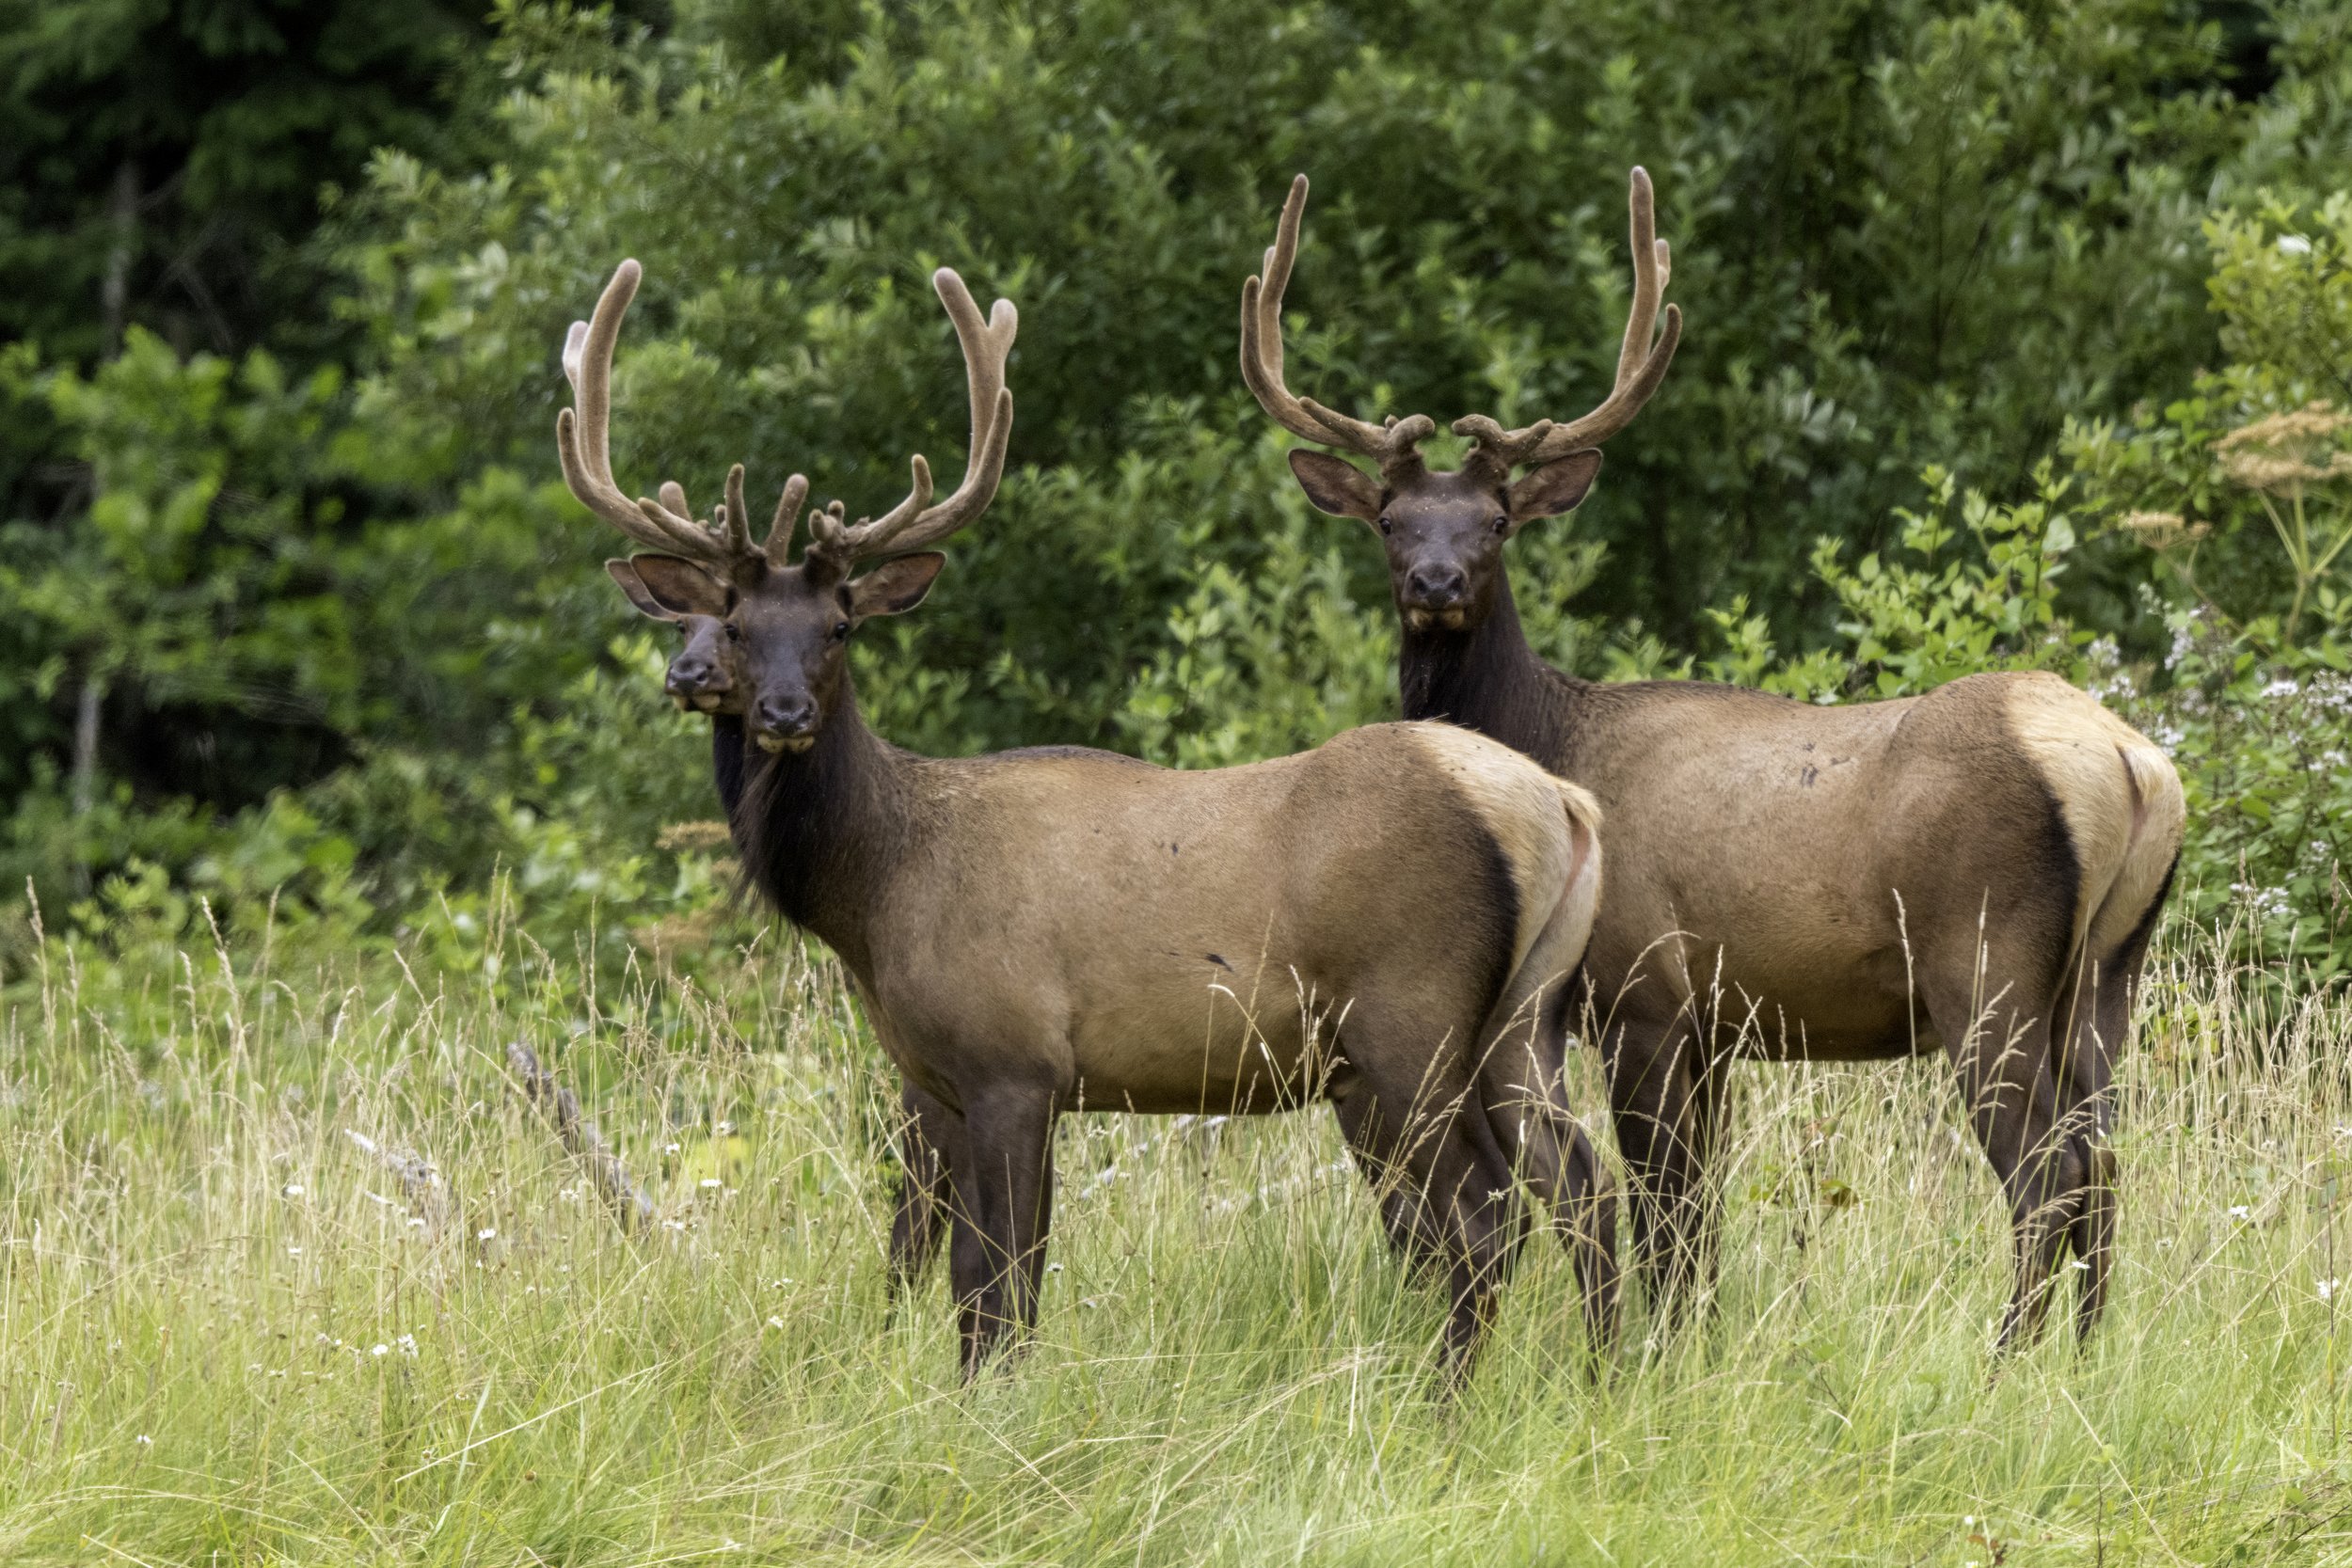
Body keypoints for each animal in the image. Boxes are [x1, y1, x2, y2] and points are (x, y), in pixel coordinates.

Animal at [558, 257, 1621, 1381]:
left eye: (839, 625)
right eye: (734, 624)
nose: (783, 712)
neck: (879, 889)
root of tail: (1558, 804)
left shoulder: (1015, 1058)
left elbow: (1004, 1282)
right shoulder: (944, 1079)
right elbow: (965, 1277)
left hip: (1409, 1009)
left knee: (1483, 1216)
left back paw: (1441, 1400)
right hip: (1524, 1016)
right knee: (1580, 1187)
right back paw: (1603, 1374)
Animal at [1240, 168, 2186, 1353]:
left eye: (1497, 519)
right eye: (1387, 518)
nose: (1437, 582)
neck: (1551, 734)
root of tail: (2130, 763)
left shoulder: (1644, 988)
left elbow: (1668, 1211)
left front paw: (1657, 1351)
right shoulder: (1718, 1024)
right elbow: (1700, 1219)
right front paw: (1694, 1345)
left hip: (1985, 953)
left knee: (2044, 1169)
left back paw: (2007, 1354)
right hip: (2109, 969)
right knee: (2103, 1158)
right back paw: (2089, 1352)